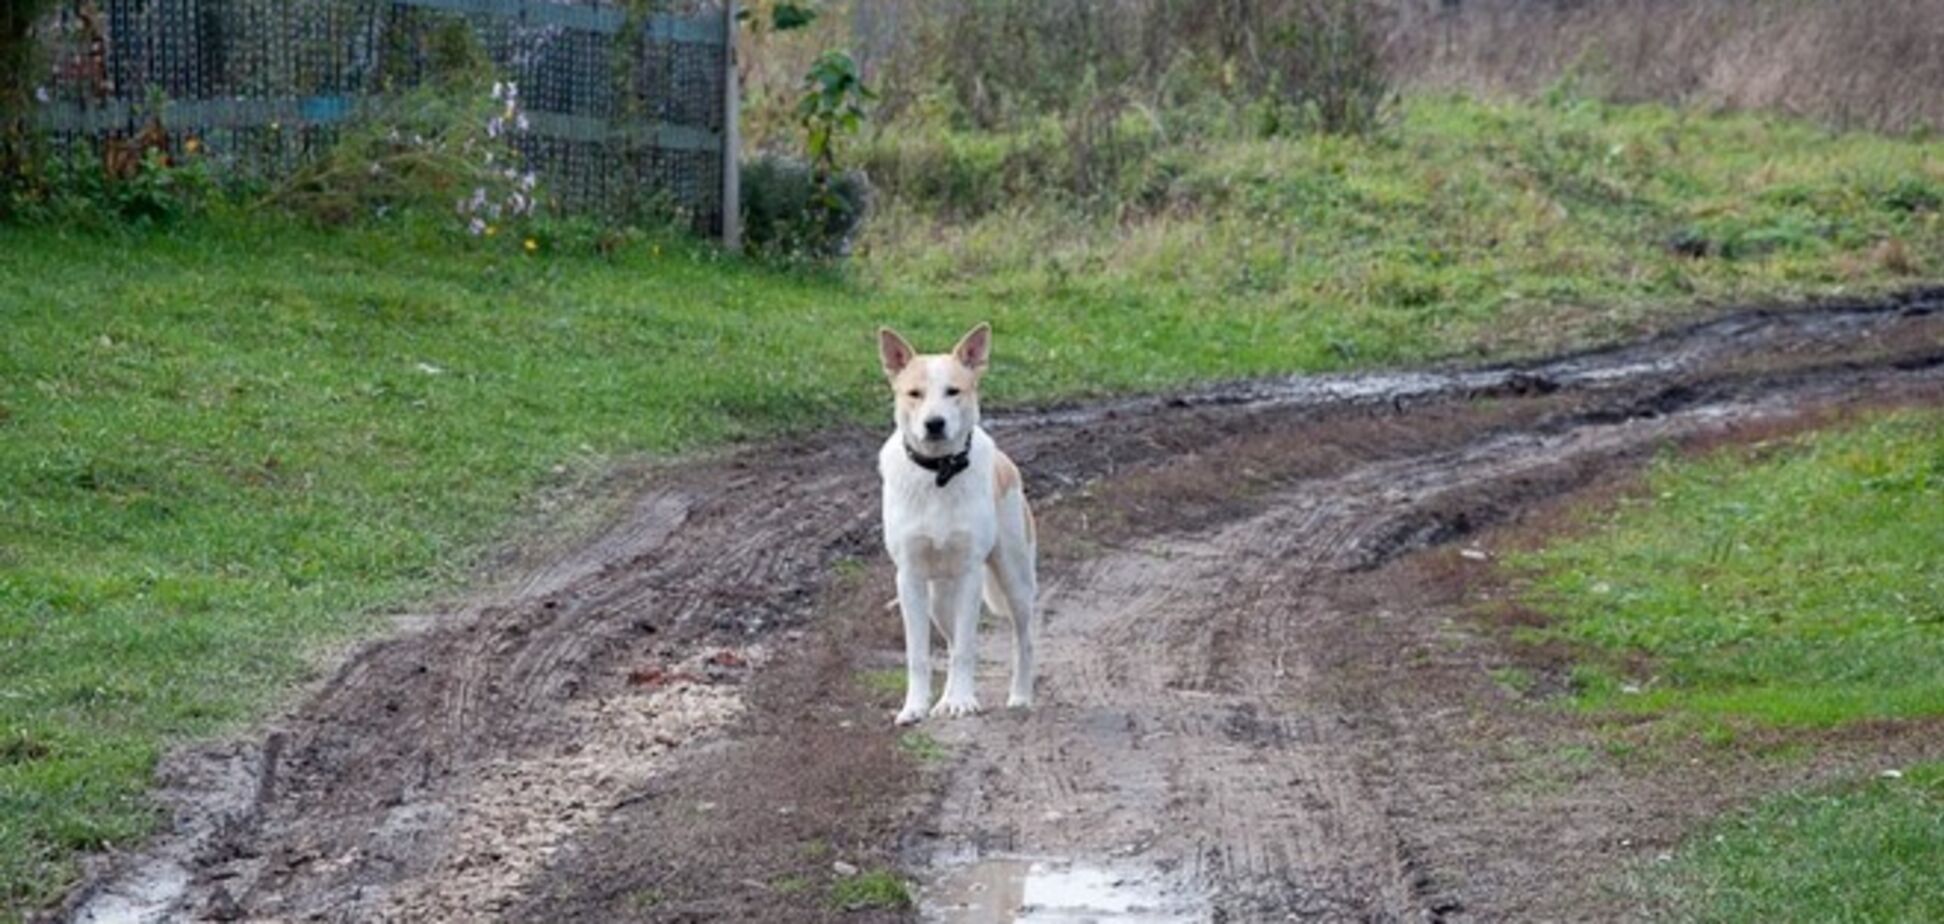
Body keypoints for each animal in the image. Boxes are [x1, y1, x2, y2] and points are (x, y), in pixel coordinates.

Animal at [878, 320, 1034, 727]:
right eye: (914, 394)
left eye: (953, 391)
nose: (934, 423)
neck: (939, 474)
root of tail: (1006, 463)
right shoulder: (909, 580)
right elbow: (919, 655)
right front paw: (915, 707)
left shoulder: (970, 574)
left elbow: (967, 647)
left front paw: (963, 701)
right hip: (938, 600)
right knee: (947, 644)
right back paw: (943, 699)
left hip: (1015, 580)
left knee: (1024, 640)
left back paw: (1020, 696)